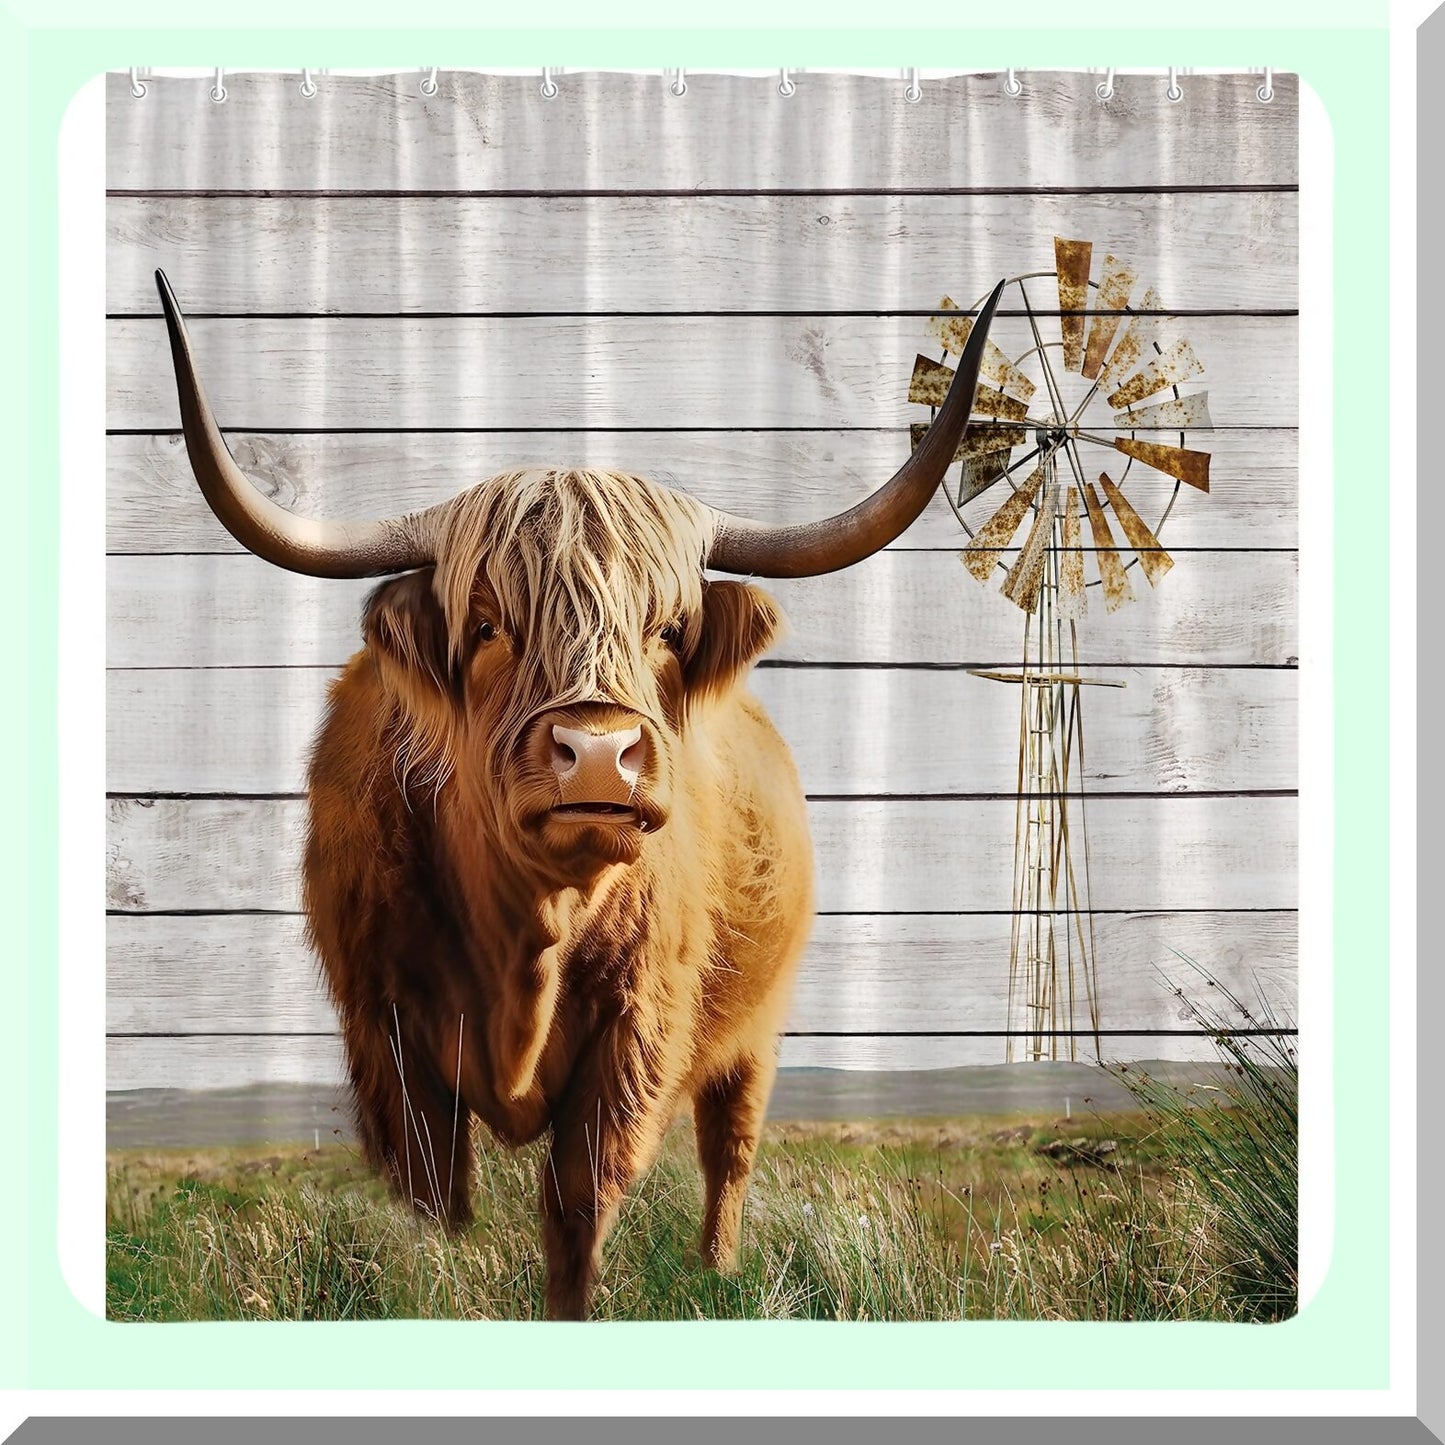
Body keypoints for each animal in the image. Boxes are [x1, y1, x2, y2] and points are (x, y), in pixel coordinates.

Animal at [154, 269, 1003, 1319]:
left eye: (669, 628)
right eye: (485, 624)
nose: (599, 756)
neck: (529, 931)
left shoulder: (637, 1030)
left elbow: (578, 1201)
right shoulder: (384, 1037)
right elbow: (437, 1204)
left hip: (759, 1027)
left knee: (730, 1145)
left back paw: (717, 1270)